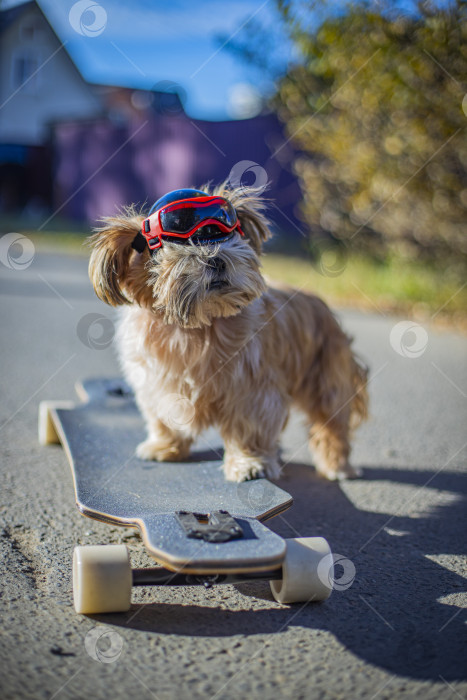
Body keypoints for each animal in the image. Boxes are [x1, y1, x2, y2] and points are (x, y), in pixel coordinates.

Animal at [88, 183, 370, 484]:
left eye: (221, 234)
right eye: (178, 243)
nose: (217, 259)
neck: (196, 327)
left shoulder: (251, 391)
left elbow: (248, 428)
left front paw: (249, 462)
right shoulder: (157, 384)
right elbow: (164, 419)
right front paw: (164, 446)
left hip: (326, 380)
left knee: (332, 425)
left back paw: (337, 465)